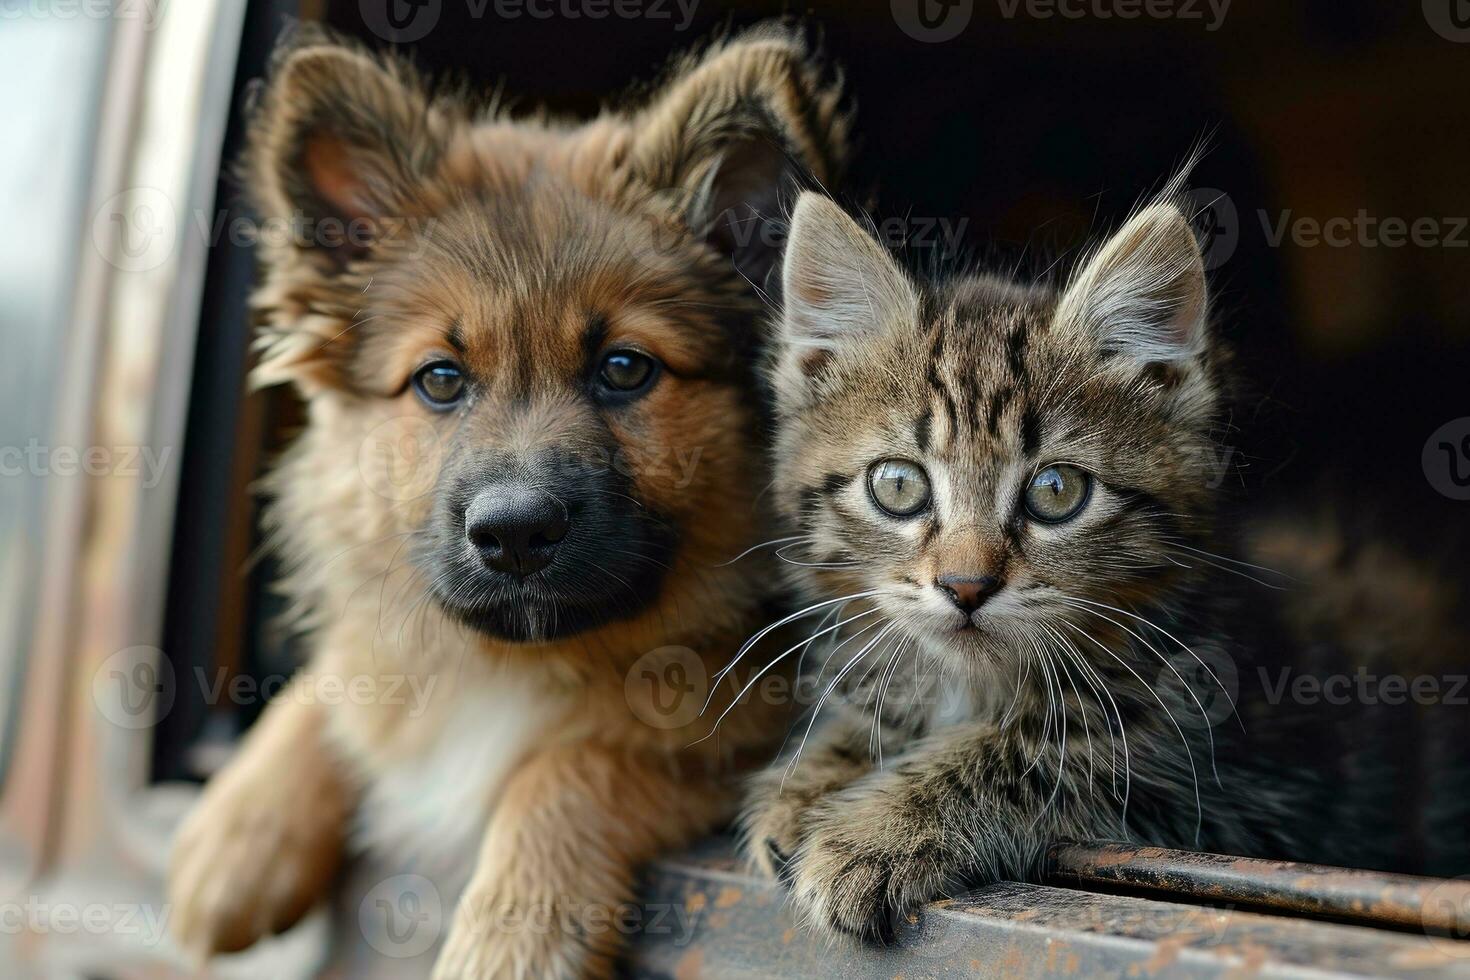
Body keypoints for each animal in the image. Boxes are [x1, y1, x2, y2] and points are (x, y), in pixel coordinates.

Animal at [166, 24, 846, 980]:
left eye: (625, 368)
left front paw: (514, 934)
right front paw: (238, 834)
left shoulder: (742, 725)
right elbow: (337, 677)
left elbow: (575, 764)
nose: (515, 534)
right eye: (440, 380)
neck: (513, 667)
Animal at [746, 188, 1470, 940]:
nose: (966, 586)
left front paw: (876, 829)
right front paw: (816, 774)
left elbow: (1045, 755)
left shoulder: (1241, 772)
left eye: (1056, 492)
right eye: (898, 486)